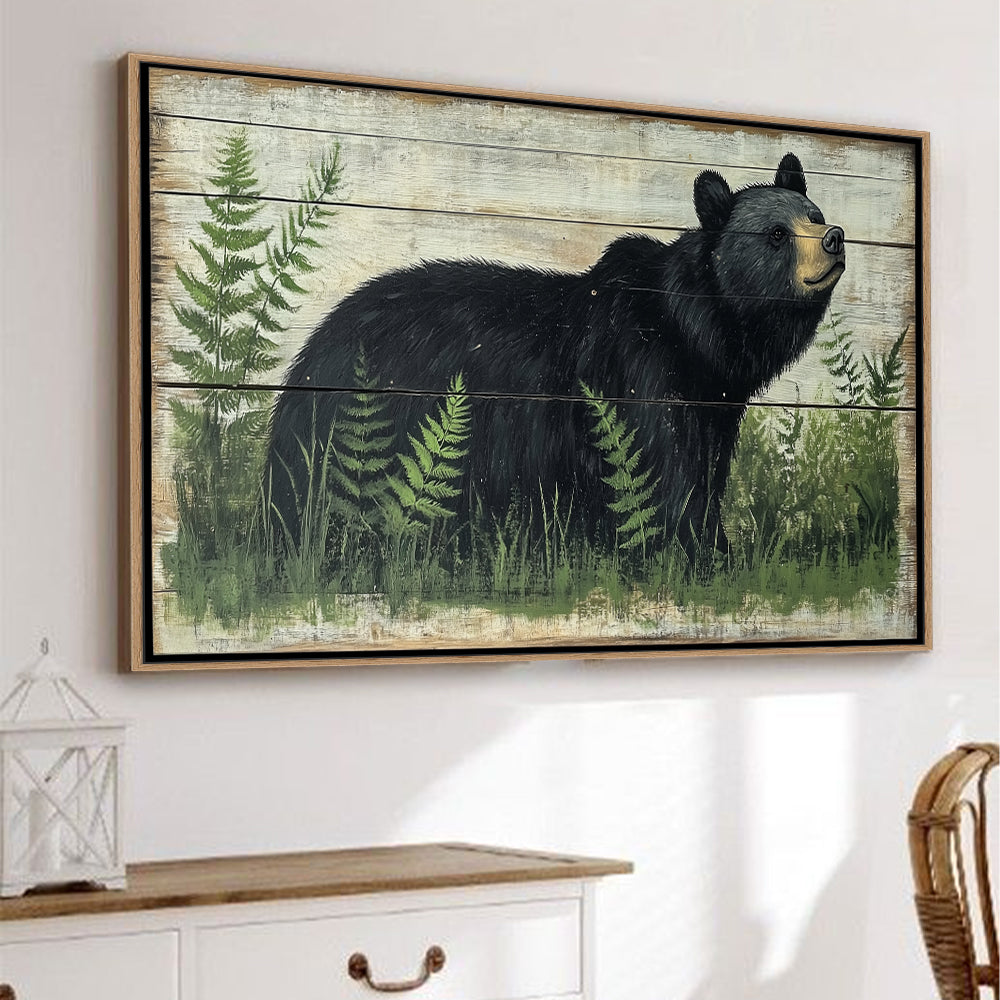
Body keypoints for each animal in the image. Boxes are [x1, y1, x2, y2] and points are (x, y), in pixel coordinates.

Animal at [264, 152, 845, 565]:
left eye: (813, 215)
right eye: (776, 234)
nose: (835, 238)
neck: (695, 332)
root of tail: (313, 351)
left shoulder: (713, 406)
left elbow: (704, 470)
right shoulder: (638, 372)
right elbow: (661, 473)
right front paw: (696, 555)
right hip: (369, 422)